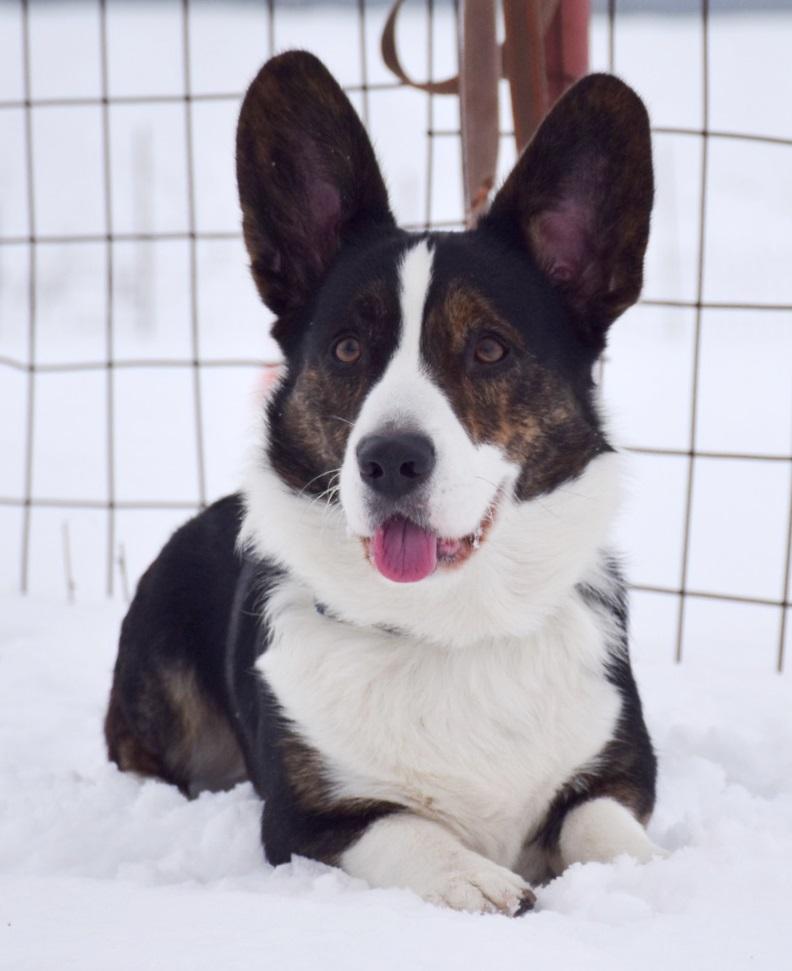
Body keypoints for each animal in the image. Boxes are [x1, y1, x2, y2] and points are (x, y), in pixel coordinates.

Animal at [106, 53, 664, 920]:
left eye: (491, 348)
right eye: (346, 347)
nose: (391, 459)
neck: (448, 627)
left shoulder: (621, 766)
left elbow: (600, 823)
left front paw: (640, 874)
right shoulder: (307, 817)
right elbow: (407, 827)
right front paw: (479, 880)